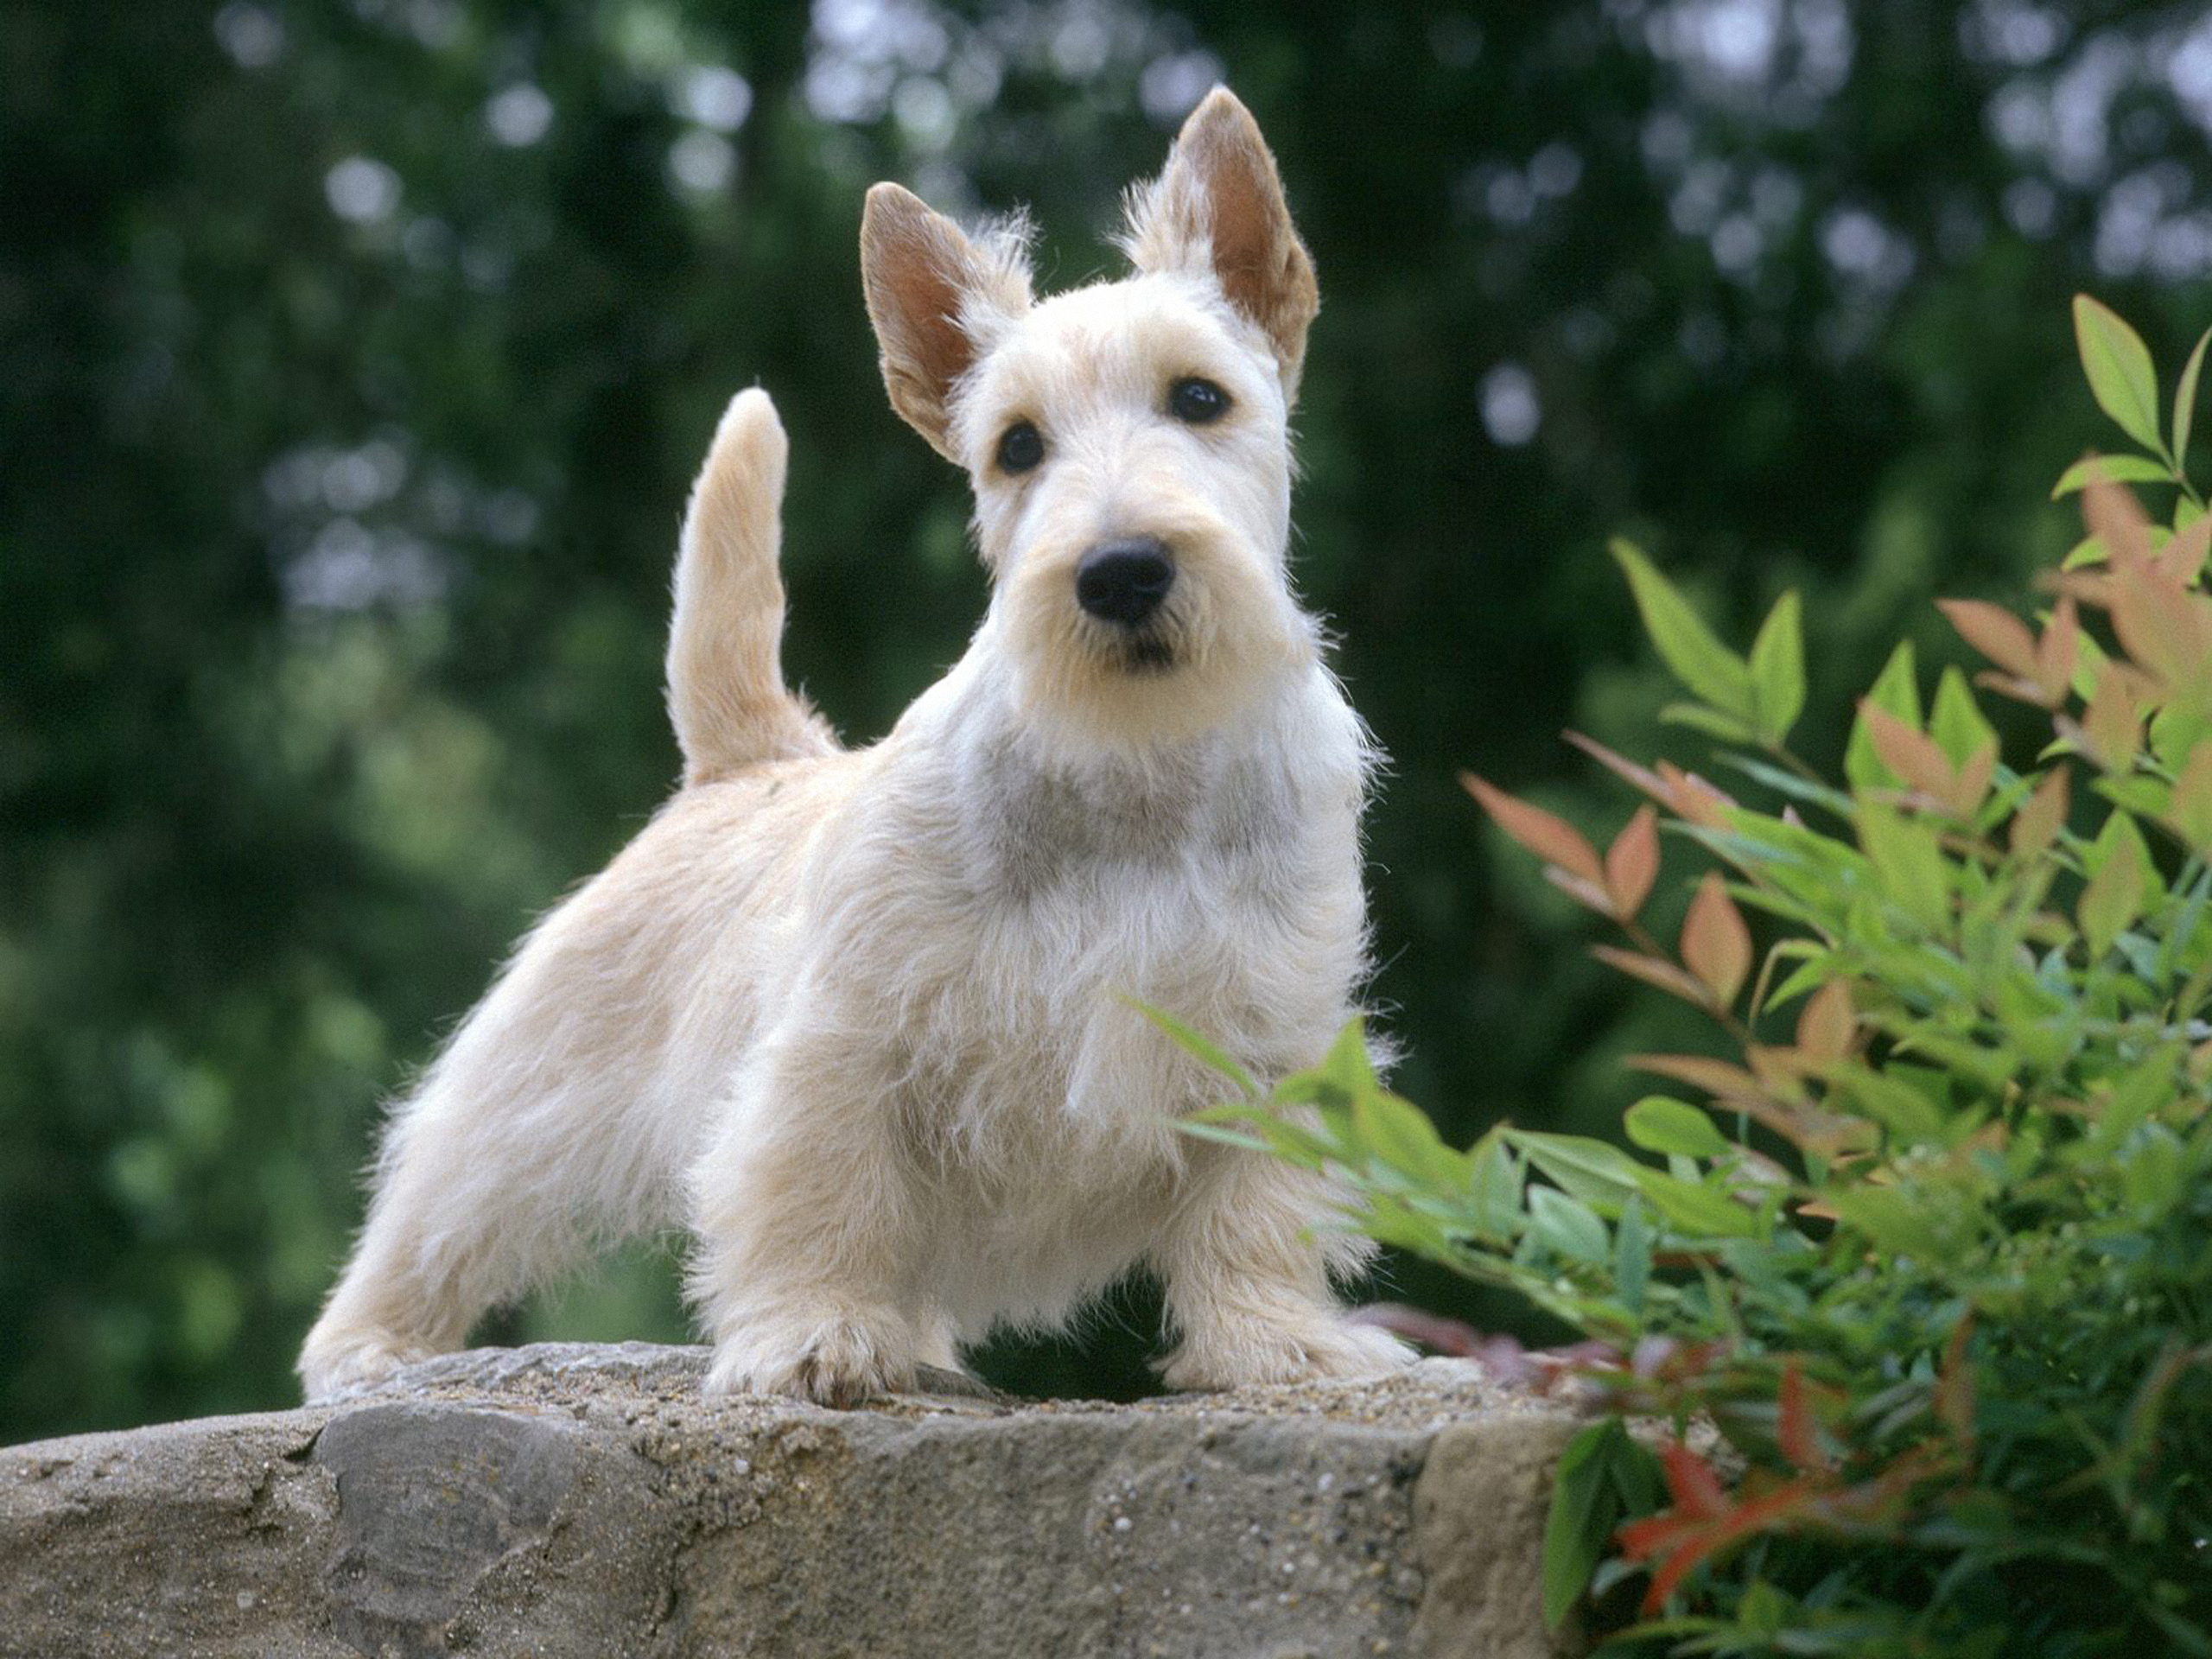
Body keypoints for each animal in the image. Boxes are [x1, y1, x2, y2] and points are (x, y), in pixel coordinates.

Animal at [294, 84, 1407, 1407]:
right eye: (1016, 446)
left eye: (1199, 398)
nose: (1120, 571)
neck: (1133, 772)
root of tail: (748, 757)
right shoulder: (844, 1038)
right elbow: (818, 1186)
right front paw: (815, 1334)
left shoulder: (1272, 1044)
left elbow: (1257, 1212)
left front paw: (1278, 1344)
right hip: (522, 1097)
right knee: (433, 1207)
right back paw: (370, 1349)